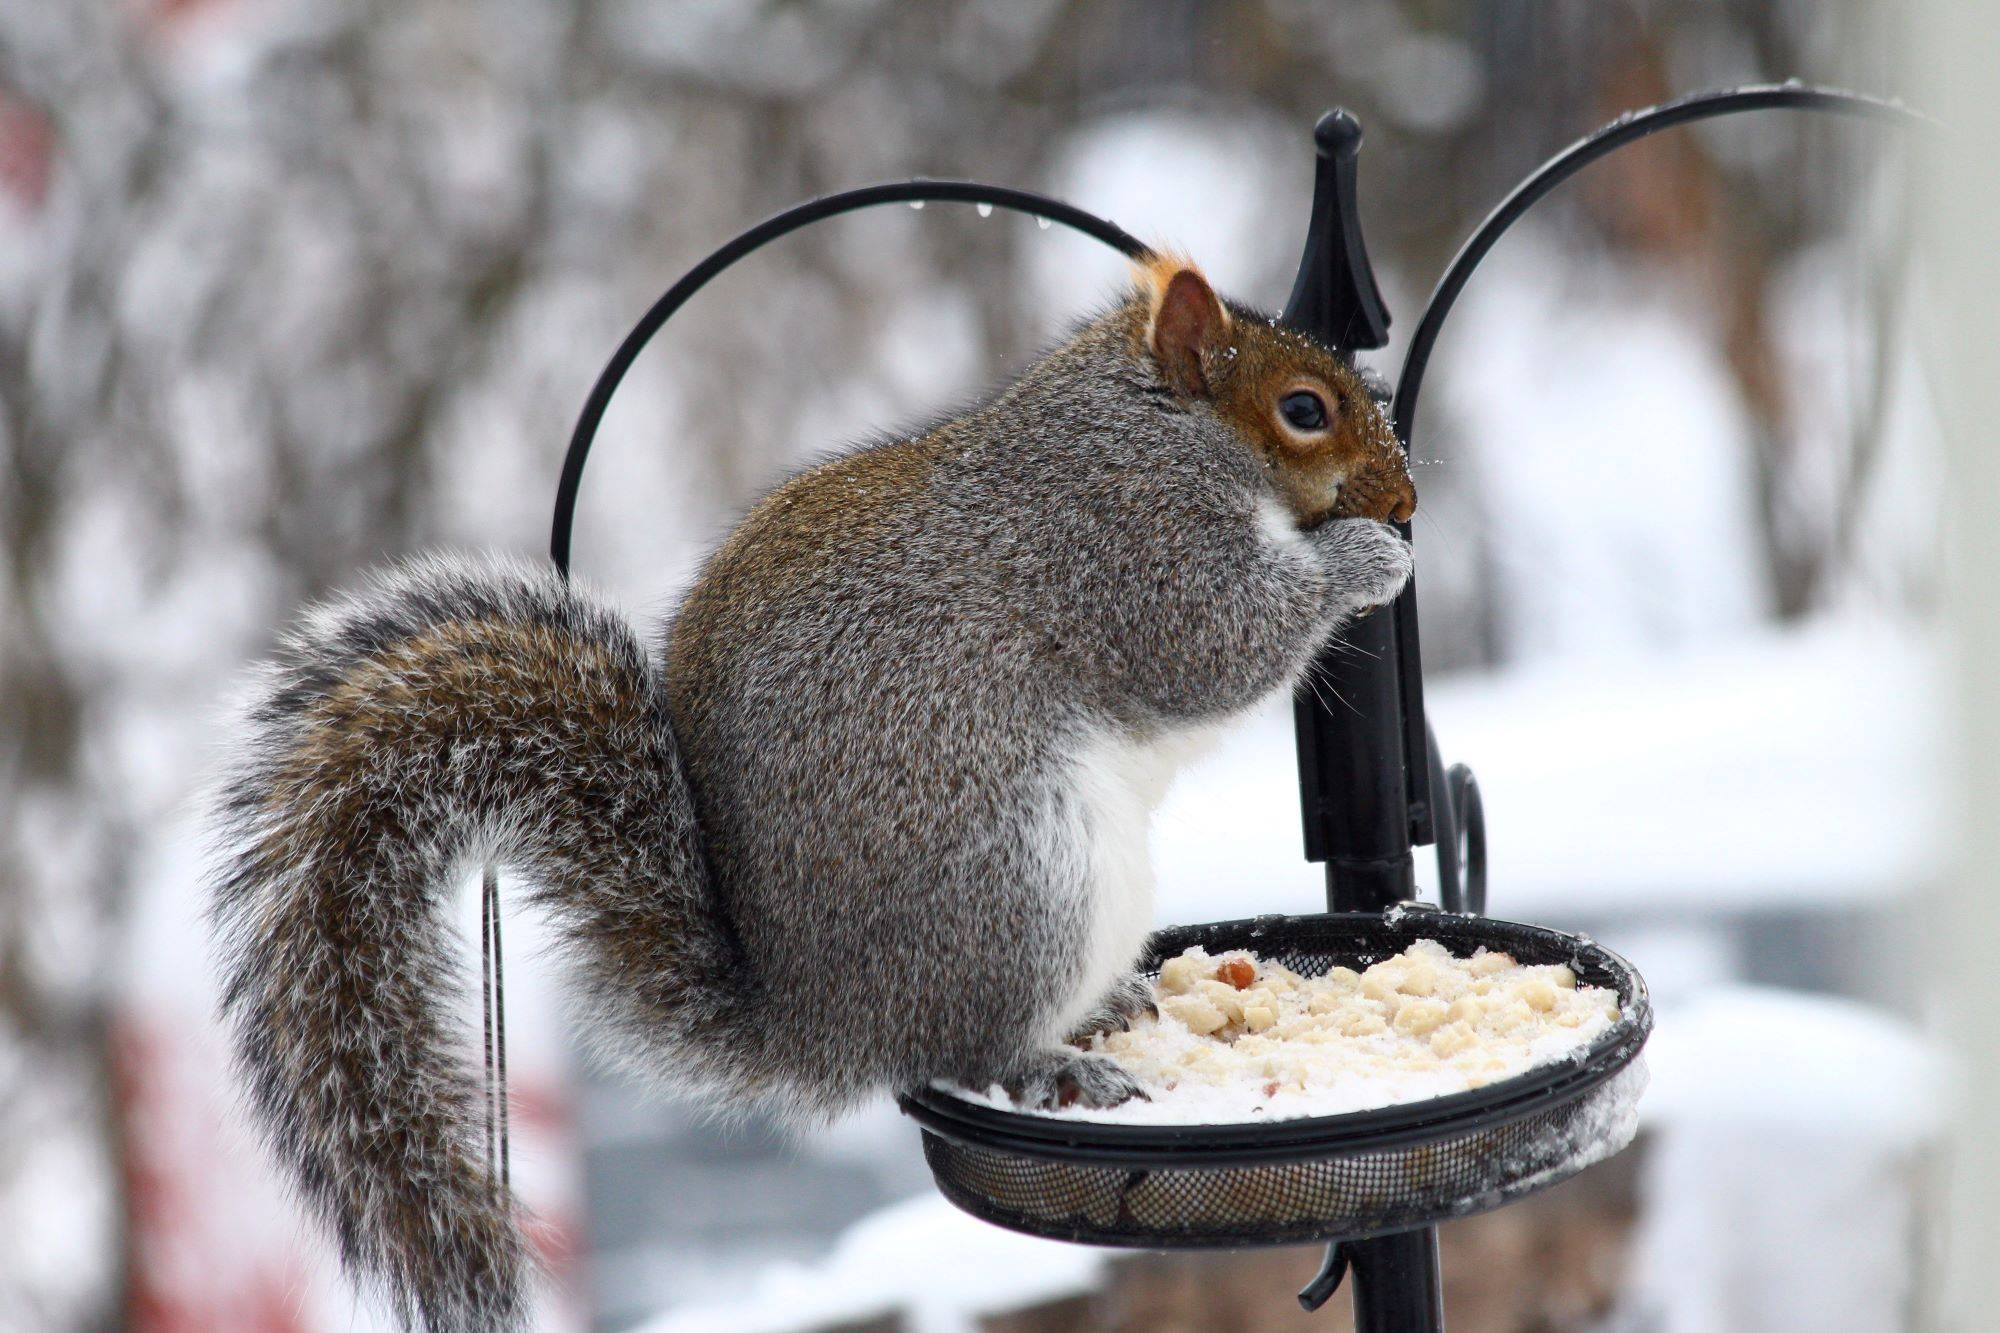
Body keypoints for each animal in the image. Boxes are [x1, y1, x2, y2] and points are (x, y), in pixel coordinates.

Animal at [206, 253, 1416, 1332]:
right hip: (1028, 881)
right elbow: (1217, 646)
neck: (1153, 425)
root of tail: (823, 1022)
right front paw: (1365, 563)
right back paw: (1053, 1059)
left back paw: (1108, 1004)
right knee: (963, 1050)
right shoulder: (1131, 545)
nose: (1406, 496)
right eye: (1304, 409)